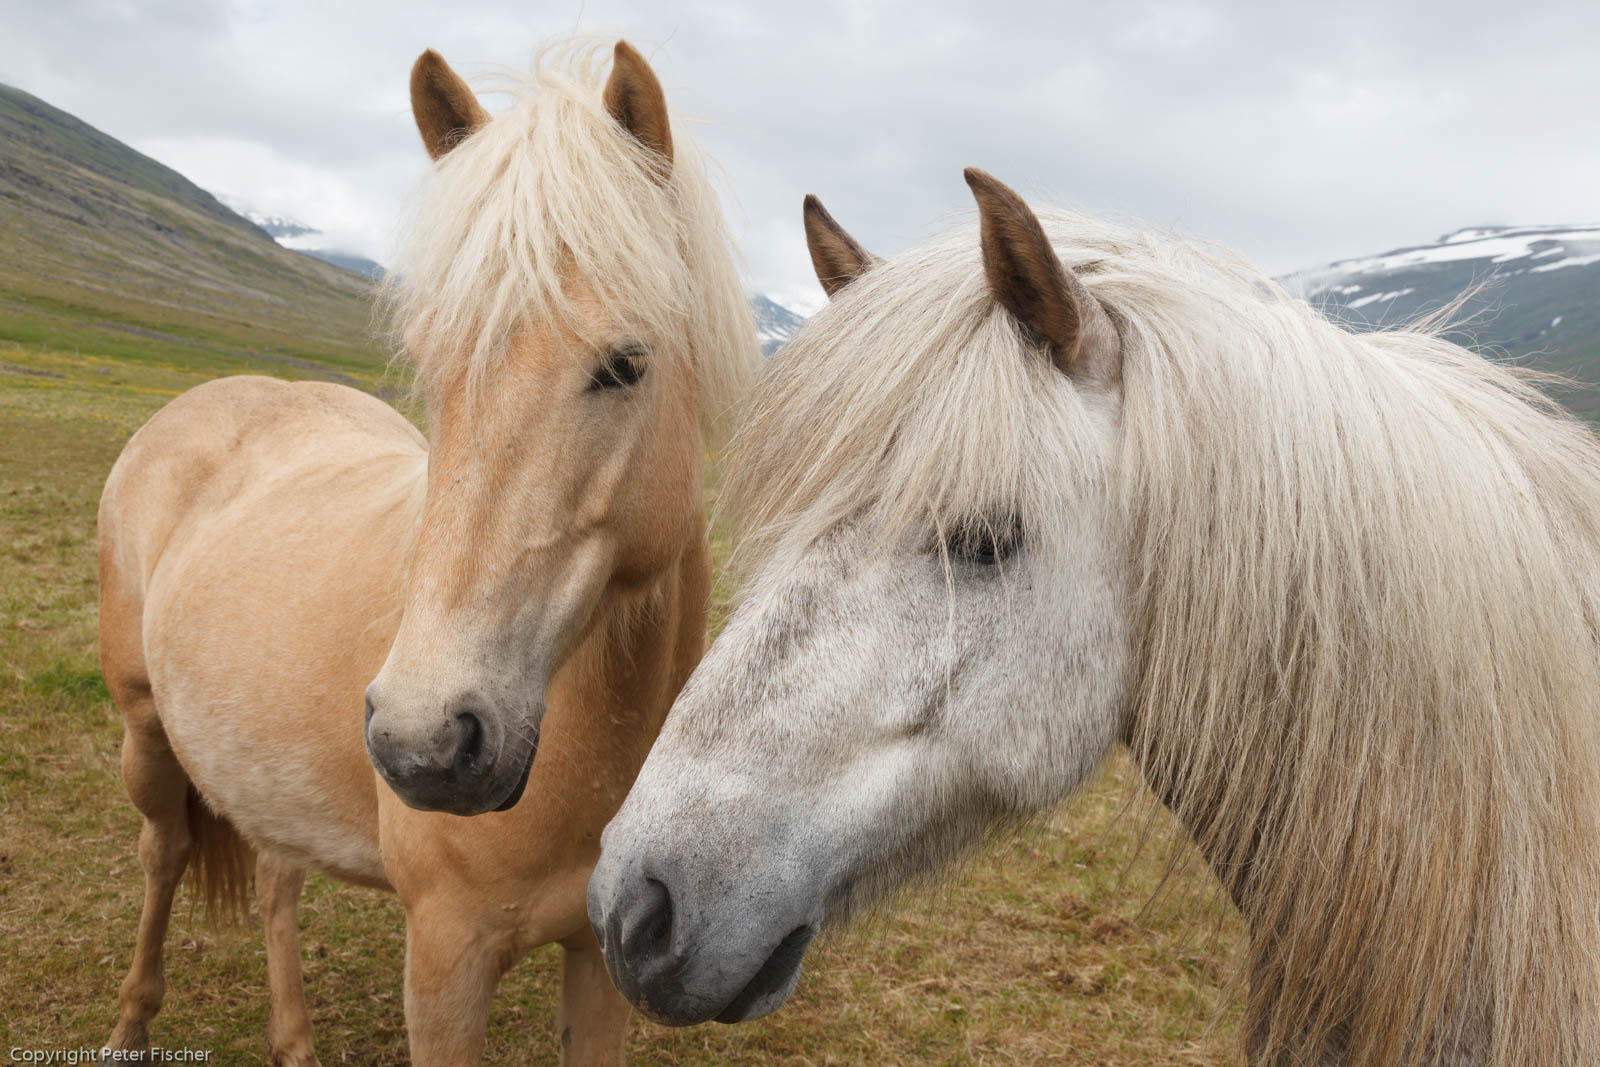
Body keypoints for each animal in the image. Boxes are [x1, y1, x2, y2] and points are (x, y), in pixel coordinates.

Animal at [95, 38, 755, 1066]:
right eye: (435, 364)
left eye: (626, 363)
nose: (424, 742)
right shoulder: (445, 959)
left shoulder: (599, 960)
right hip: (146, 735)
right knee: (162, 855)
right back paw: (132, 1020)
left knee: (278, 878)